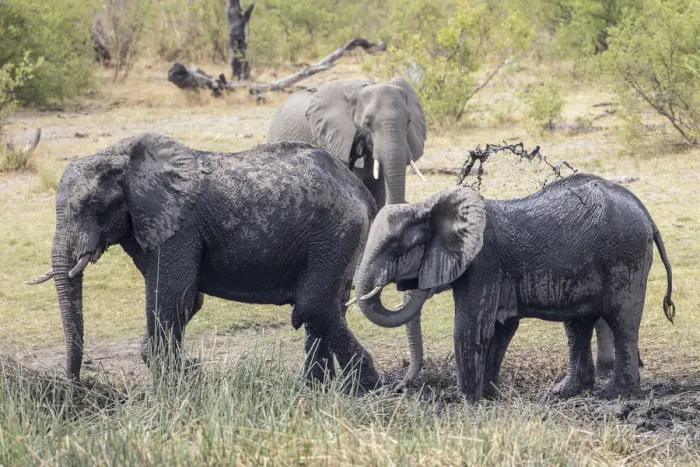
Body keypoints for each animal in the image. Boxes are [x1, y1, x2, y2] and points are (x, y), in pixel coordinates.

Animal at [26, 133, 381, 390]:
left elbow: (172, 299)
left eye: (92, 205)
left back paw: (368, 389)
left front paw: (170, 388)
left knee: (314, 305)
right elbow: (187, 301)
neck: (122, 159)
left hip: (335, 232)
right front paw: (181, 376)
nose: (75, 386)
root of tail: (359, 189)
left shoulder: (180, 226)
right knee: (326, 306)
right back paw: (315, 389)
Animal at [350, 174, 675, 400]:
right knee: (578, 325)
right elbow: (500, 329)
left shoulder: (484, 262)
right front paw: (489, 398)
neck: (429, 207)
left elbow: (472, 328)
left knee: (621, 320)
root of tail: (645, 213)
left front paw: (466, 402)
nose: (399, 388)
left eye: (397, 247)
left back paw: (615, 396)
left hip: (624, 254)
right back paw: (563, 392)